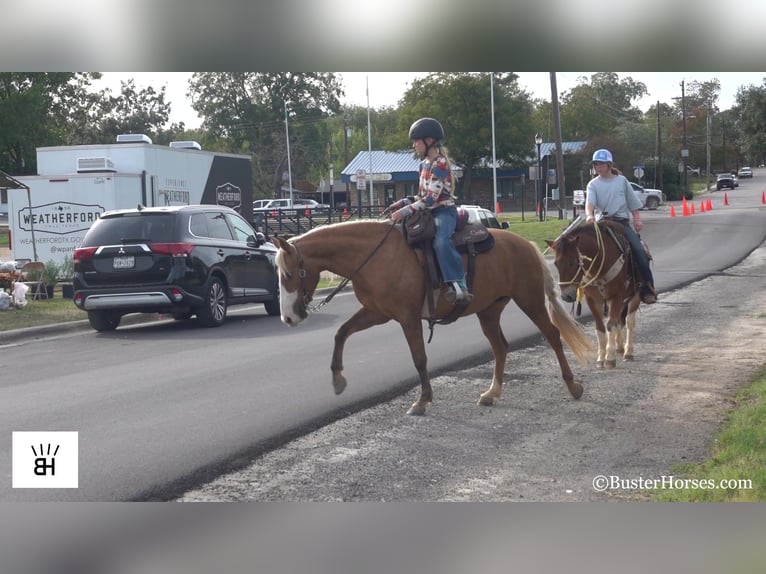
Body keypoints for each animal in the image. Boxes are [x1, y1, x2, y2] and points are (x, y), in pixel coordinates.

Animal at [272, 222, 596, 418]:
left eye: (288, 274)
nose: (288, 317)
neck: (376, 257)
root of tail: (525, 245)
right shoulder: (377, 312)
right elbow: (341, 332)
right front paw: (338, 379)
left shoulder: (407, 317)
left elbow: (419, 358)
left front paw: (422, 400)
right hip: (489, 310)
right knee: (500, 347)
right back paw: (491, 393)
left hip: (529, 300)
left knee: (552, 334)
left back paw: (573, 386)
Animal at [548, 220, 644, 368]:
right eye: (556, 263)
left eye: (572, 262)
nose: (566, 296)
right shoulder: (592, 299)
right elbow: (600, 327)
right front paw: (601, 357)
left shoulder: (616, 296)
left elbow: (611, 324)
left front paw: (609, 358)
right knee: (619, 320)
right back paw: (619, 347)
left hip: (635, 296)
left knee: (629, 322)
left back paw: (628, 351)